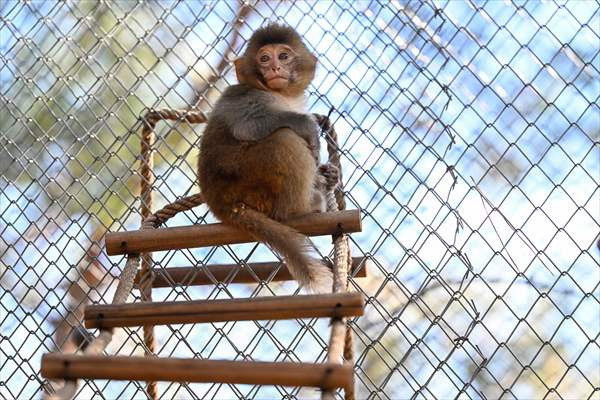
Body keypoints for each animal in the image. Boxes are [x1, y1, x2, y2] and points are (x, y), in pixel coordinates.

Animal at [198, 24, 338, 294]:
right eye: (264, 58)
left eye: (283, 56)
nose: (274, 68)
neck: (278, 93)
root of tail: (222, 205)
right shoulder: (243, 96)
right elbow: (248, 126)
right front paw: (308, 125)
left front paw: (330, 175)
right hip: (248, 178)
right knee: (284, 137)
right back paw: (299, 210)